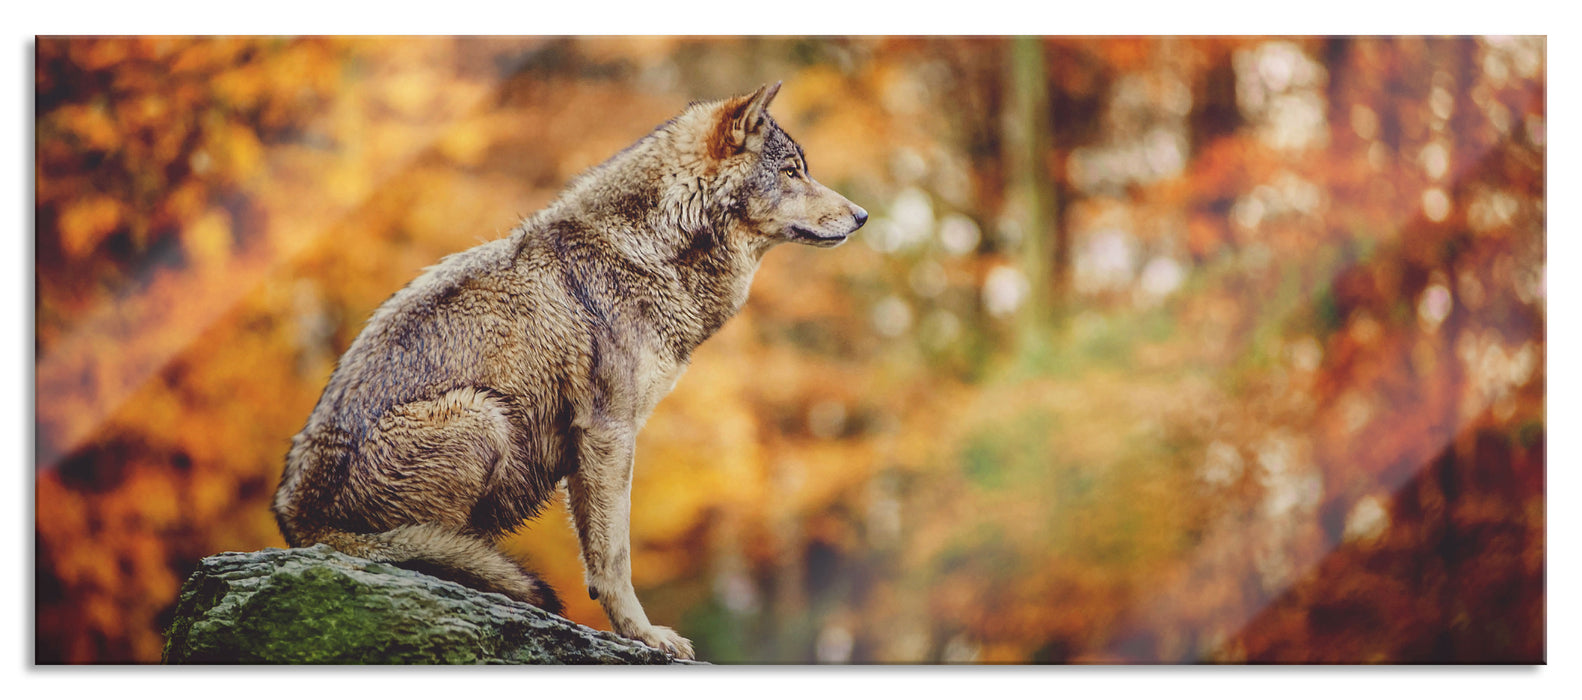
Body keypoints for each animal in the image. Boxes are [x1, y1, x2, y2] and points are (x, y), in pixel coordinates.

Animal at [272, 84, 866, 658]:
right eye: (791, 171)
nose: (861, 216)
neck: (649, 251)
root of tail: (298, 520)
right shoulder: (609, 432)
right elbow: (615, 555)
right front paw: (645, 636)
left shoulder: (591, 446)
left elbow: (599, 555)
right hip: (482, 415)